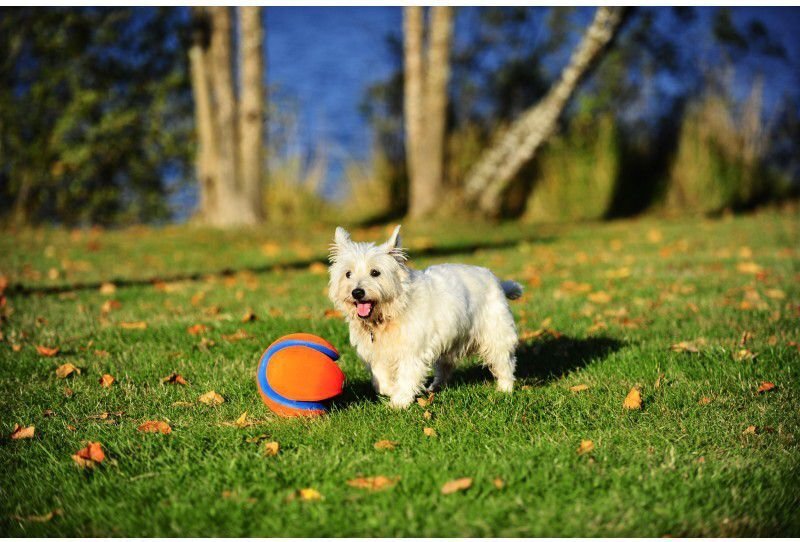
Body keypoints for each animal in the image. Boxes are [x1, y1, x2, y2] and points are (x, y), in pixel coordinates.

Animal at [326, 224, 524, 408]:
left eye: (375, 272)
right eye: (348, 274)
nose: (357, 292)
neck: (389, 314)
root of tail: (497, 281)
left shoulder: (411, 350)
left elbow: (407, 376)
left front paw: (399, 401)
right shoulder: (376, 352)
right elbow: (381, 379)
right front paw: (390, 390)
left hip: (495, 334)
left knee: (504, 362)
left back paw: (505, 389)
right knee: (445, 367)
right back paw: (435, 387)